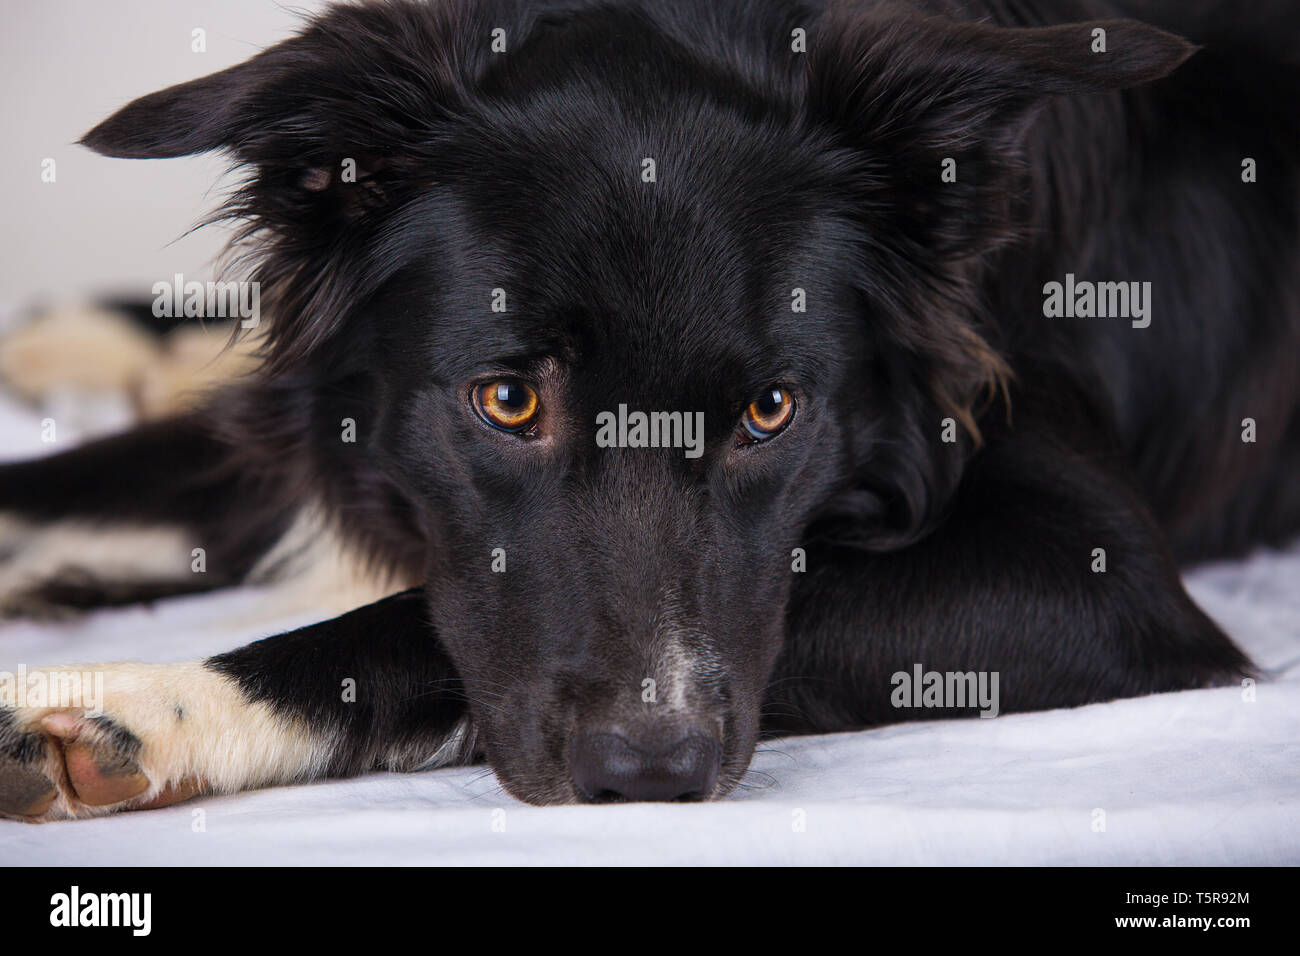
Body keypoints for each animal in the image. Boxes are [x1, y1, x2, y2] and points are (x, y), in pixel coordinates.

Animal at [2, 0, 1300, 822]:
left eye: (771, 409)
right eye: (507, 399)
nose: (650, 774)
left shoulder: (1097, 567)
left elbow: (404, 619)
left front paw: (133, 703)